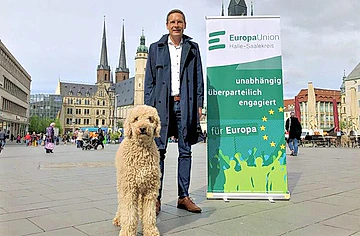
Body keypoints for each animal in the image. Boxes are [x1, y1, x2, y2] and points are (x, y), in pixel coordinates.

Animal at [113, 105, 161, 236]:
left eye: (150, 119)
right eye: (136, 119)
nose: (143, 128)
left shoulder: (150, 190)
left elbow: (149, 214)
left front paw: (150, 231)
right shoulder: (129, 190)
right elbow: (129, 213)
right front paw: (127, 232)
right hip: (121, 183)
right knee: (121, 203)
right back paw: (118, 219)